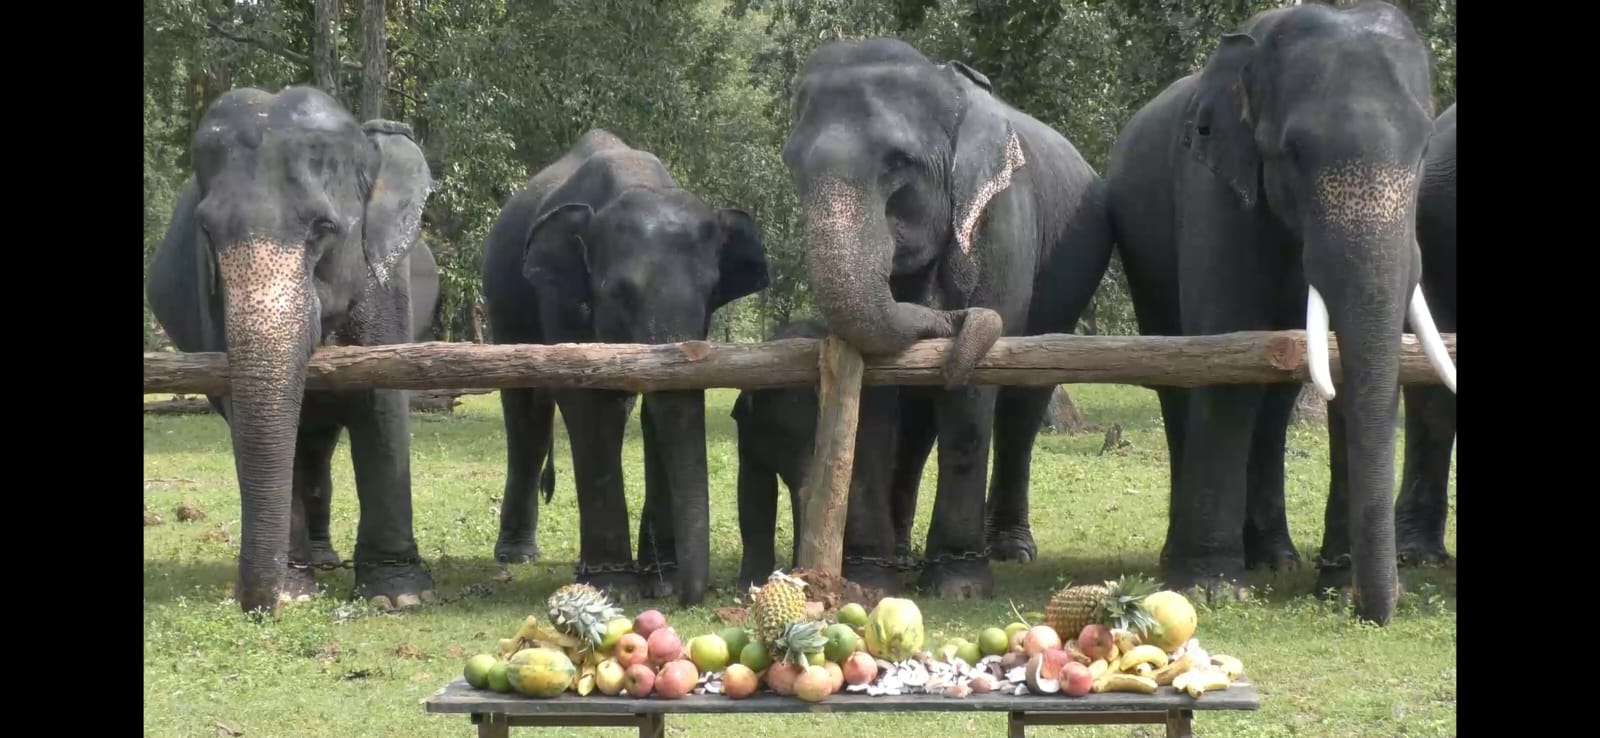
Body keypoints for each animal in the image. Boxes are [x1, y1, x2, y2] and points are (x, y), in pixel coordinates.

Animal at [148, 86, 441, 611]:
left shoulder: (386, 281)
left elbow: (381, 399)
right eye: (207, 232)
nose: (255, 602)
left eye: (323, 228)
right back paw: (315, 565)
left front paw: (400, 597)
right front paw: (292, 593)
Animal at [480, 129, 768, 608]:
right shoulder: (561, 299)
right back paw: (516, 556)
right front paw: (613, 585)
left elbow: (660, 411)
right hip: (502, 307)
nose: (688, 598)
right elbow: (587, 405)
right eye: (617, 293)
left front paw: (661, 580)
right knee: (526, 415)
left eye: (711, 293)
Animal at [784, 38, 1113, 598]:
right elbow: (876, 392)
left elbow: (971, 401)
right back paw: (900, 553)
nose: (943, 316)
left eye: (900, 162)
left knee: (1023, 406)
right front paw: (869, 579)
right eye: (792, 165)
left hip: (1070, 279)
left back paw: (1009, 549)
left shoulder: (1002, 221)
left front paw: (959, 583)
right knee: (917, 423)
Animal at [1100, 2, 1465, 624]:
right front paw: (1213, 590)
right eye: (1291, 152)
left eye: (1422, 152)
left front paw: (1337, 586)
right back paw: (1197, 560)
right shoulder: (1213, 190)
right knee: (1179, 381)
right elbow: (1223, 359)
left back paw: (1274, 560)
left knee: (1273, 403)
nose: (1376, 611)